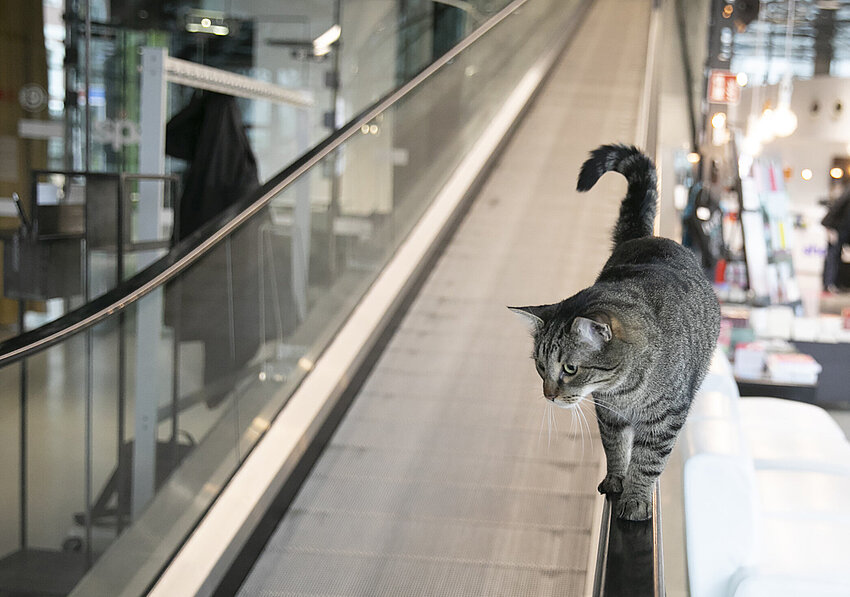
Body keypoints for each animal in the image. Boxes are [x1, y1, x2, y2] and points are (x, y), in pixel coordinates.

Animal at [506, 143, 720, 516]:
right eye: (540, 367)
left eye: (570, 368)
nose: (549, 395)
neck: (624, 390)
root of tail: (646, 236)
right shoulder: (609, 415)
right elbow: (615, 448)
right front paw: (616, 479)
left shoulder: (665, 420)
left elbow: (648, 462)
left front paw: (636, 497)